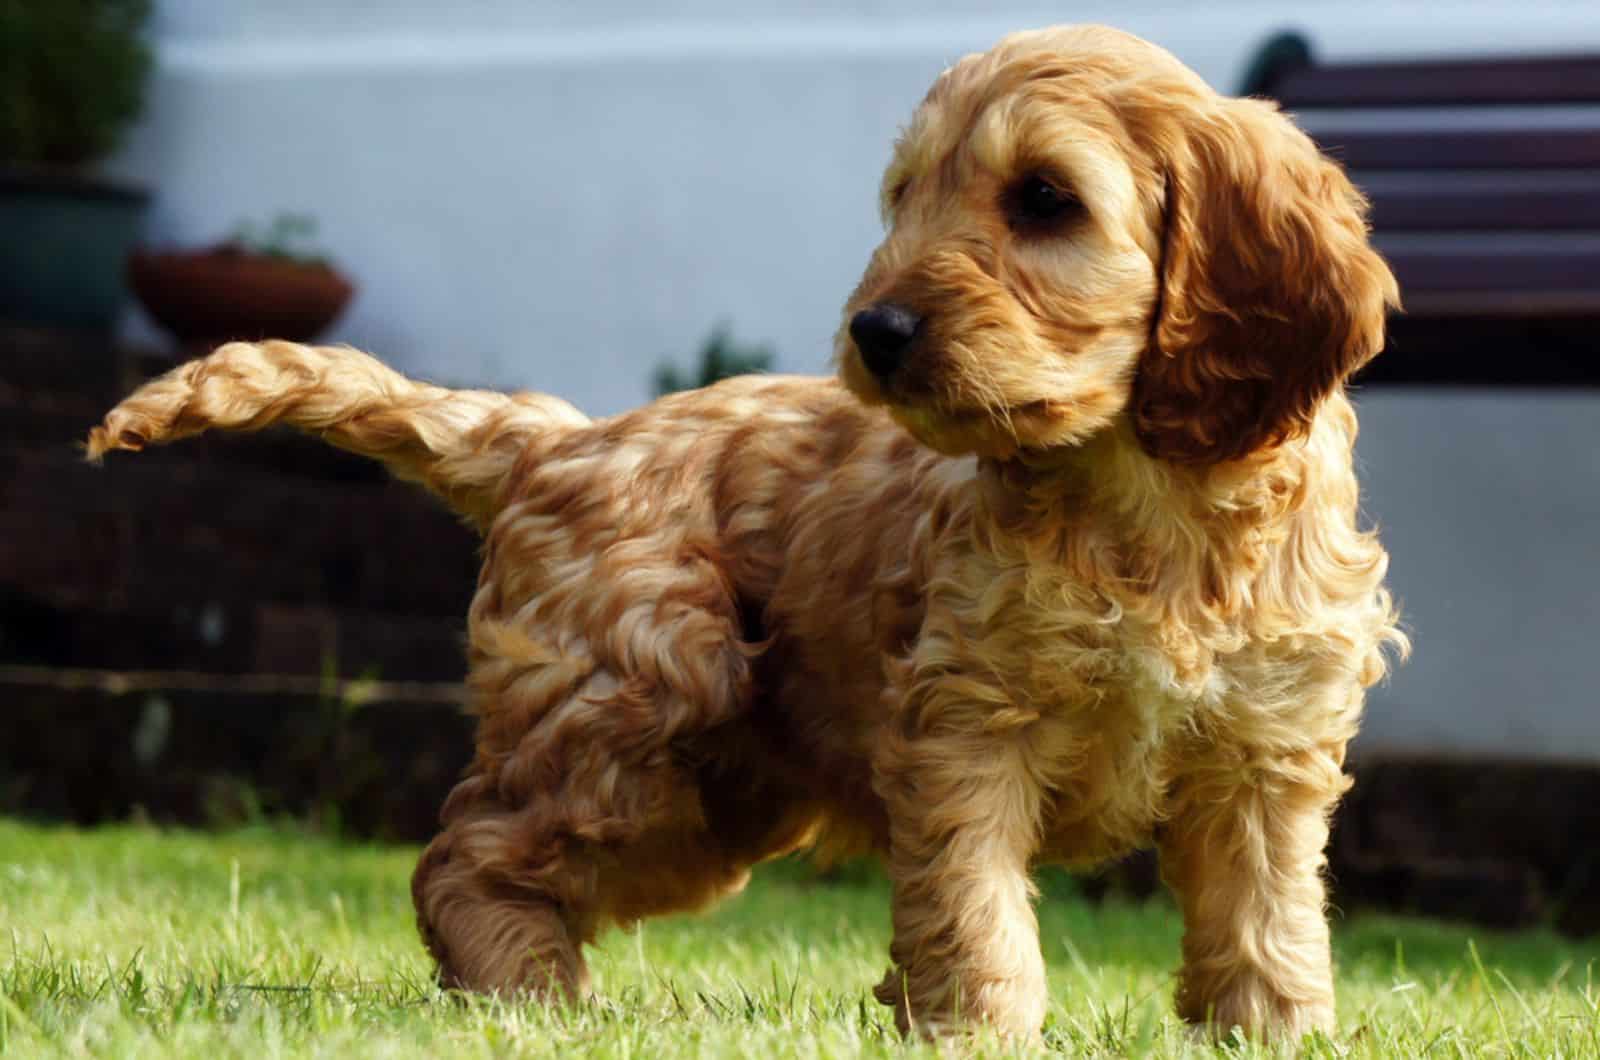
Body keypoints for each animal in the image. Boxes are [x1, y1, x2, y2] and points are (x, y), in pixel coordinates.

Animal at [96, 24, 1401, 1043]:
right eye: (904, 199)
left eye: (1044, 199)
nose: (875, 330)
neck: (1143, 501)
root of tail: (560, 436)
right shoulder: (965, 727)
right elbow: (977, 912)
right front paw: (977, 1031)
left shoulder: (1264, 751)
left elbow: (1265, 924)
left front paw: (1274, 1033)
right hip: (633, 715)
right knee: (467, 848)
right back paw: (530, 999)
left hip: (716, 796)